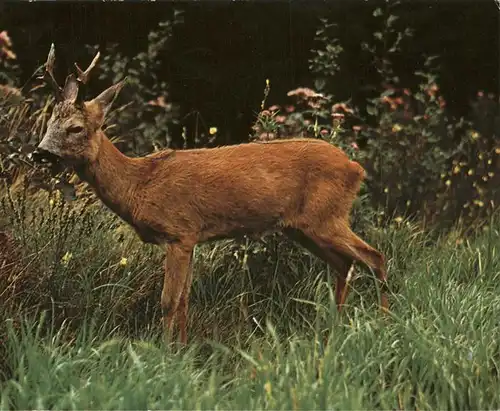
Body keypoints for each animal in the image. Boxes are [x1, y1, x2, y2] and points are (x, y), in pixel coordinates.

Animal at [32, 45, 390, 346]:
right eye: (49, 122)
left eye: (76, 128)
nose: (40, 153)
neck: (139, 184)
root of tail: (356, 168)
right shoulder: (191, 239)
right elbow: (184, 300)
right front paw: (183, 350)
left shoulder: (178, 232)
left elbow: (168, 302)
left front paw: (163, 355)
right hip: (303, 228)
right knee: (346, 263)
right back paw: (335, 328)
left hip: (325, 217)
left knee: (374, 256)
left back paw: (383, 321)